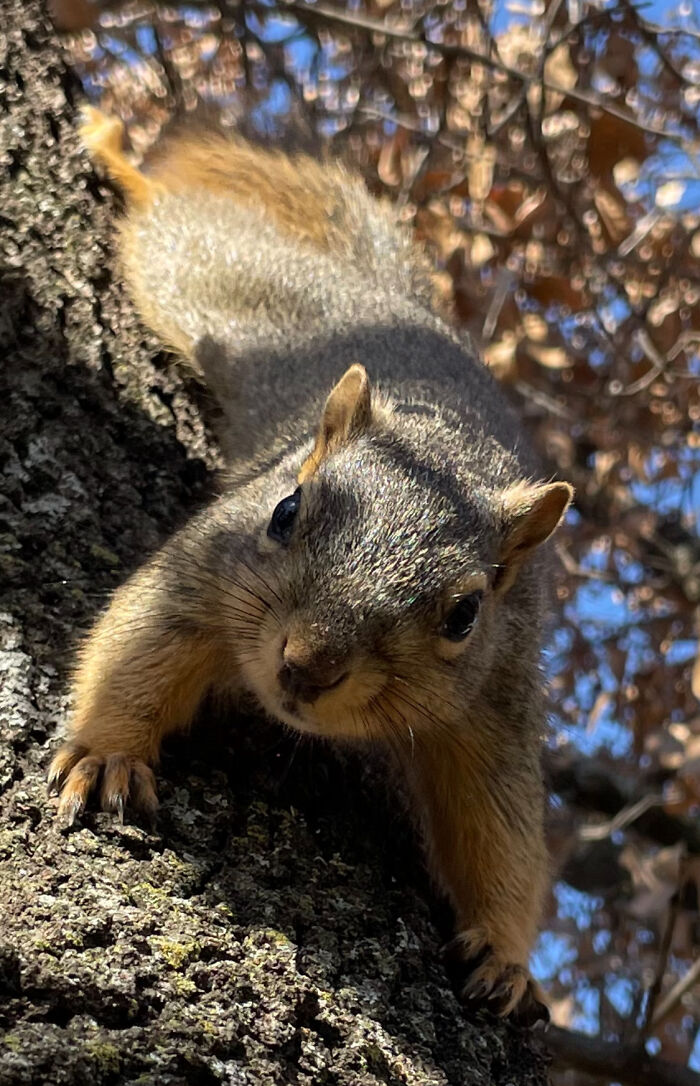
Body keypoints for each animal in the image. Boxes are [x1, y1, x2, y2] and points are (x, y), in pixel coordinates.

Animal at [48, 107, 573, 1023]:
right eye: (286, 511)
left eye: (465, 614)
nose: (307, 665)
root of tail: (381, 297)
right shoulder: (205, 570)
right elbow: (139, 645)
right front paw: (107, 752)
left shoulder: (497, 701)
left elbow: (500, 828)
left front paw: (506, 957)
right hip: (208, 280)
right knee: (165, 221)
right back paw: (117, 154)